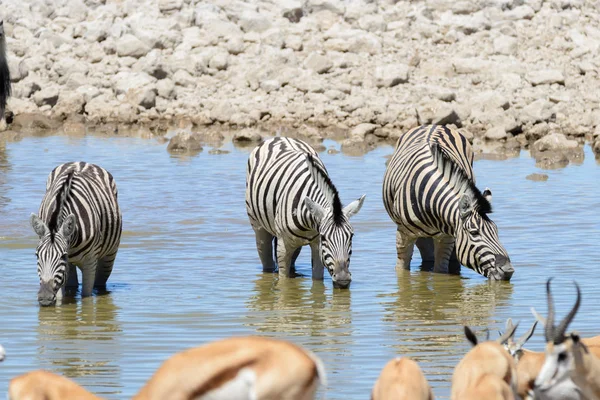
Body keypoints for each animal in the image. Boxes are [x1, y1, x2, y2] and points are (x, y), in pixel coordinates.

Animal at [29, 161, 122, 304]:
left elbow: (87, 298)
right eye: (37, 255)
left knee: (100, 282)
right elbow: (60, 298)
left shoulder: (90, 261)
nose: (44, 298)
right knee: (72, 284)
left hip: (109, 255)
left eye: (63, 256)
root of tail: (82, 162)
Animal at [244, 138, 366, 288]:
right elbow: (284, 282)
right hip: (259, 227)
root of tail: (281, 137)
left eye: (351, 236)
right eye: (324, 237)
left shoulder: (317, 247)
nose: (343, 280)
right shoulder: (284, 246)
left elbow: (317, 283)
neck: (309, 223)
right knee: (266, 260)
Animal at [382, 126, 512, 282]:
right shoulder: (404, 235)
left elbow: (441, 271)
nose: (509, 271)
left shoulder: (447, 237)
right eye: (474, 233)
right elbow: (402, 271)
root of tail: (433, 125)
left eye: (496, 230)